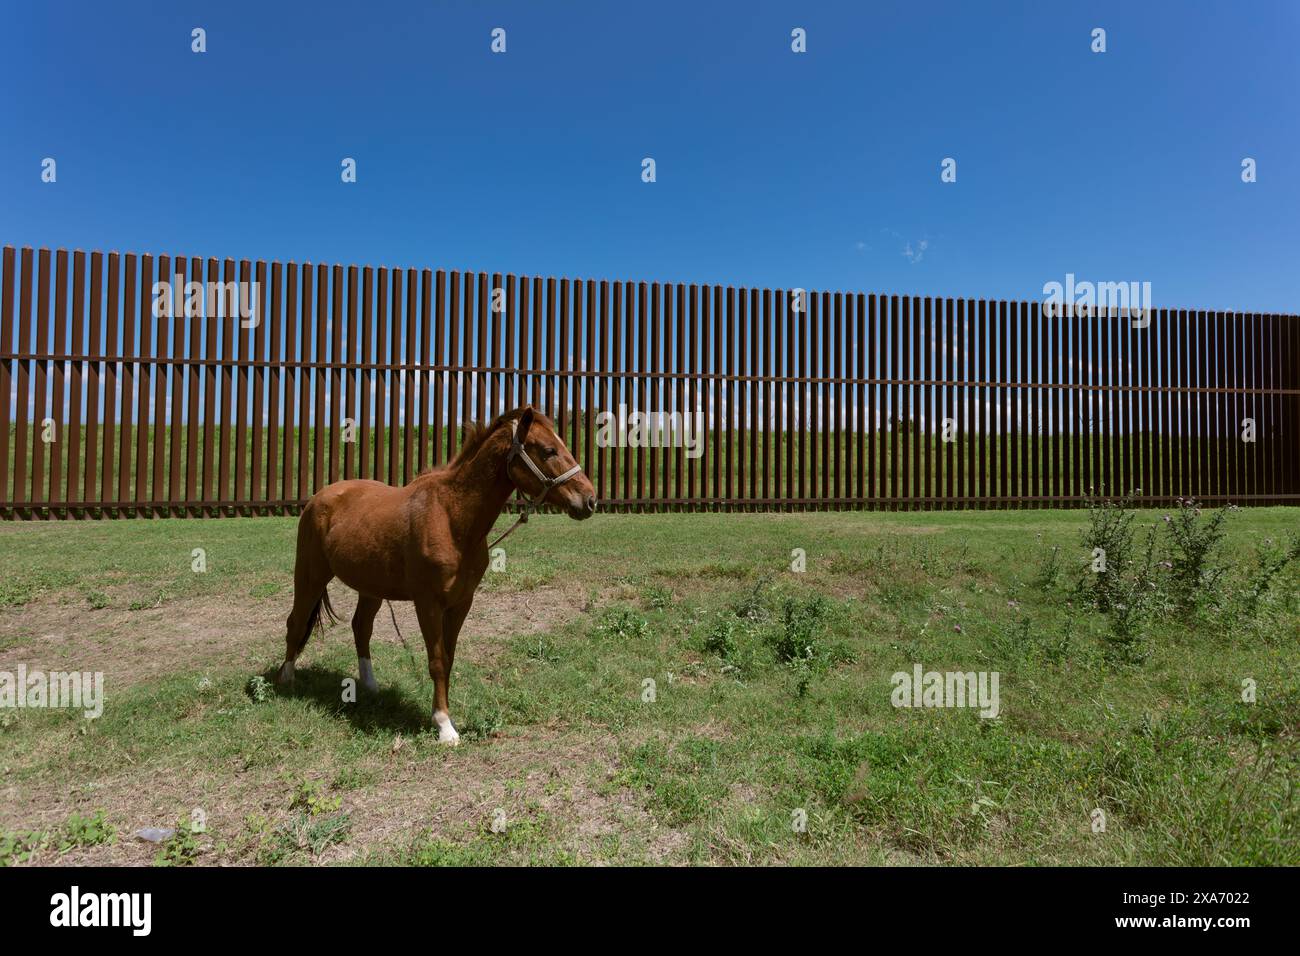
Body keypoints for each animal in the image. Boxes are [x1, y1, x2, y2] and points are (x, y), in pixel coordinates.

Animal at [279, 408, 598, 743]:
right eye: (549, 450)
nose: (589, 499)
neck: (451, 516)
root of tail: (319, 497)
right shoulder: (428, 603)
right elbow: (436, 661)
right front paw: (444, 726)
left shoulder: (461, 603)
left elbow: (448, 657)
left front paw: (445, 716)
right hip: (310, 575)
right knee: (296, 622)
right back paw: (286, 679)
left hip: (371, 587)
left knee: (361, 628)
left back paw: (369, 685)